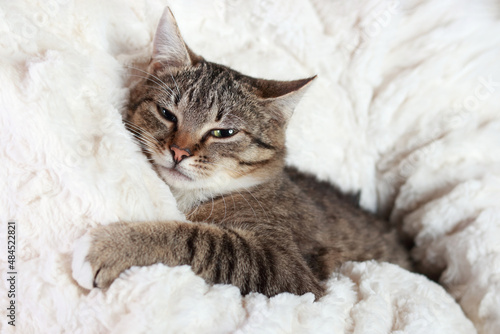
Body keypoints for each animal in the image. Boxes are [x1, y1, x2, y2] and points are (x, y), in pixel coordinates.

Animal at [73, 7, 410, 300]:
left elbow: (201, 239)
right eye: (166, 113)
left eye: (223, 132)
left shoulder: (289, 270)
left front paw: (114, 246)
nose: (179, 151)